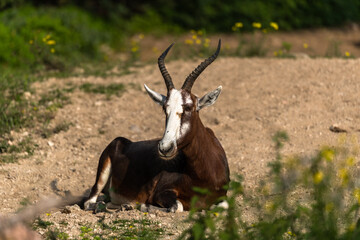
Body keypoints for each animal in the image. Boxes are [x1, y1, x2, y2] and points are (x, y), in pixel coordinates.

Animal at [83, 40, 228, 213]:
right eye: (165, 108)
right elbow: (177, 207)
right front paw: (144, 206)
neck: (203, 176)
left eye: (188, 107)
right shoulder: (162, 192)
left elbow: (222, 206)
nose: (165, 148)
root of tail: (122, 142)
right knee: (89, 202)